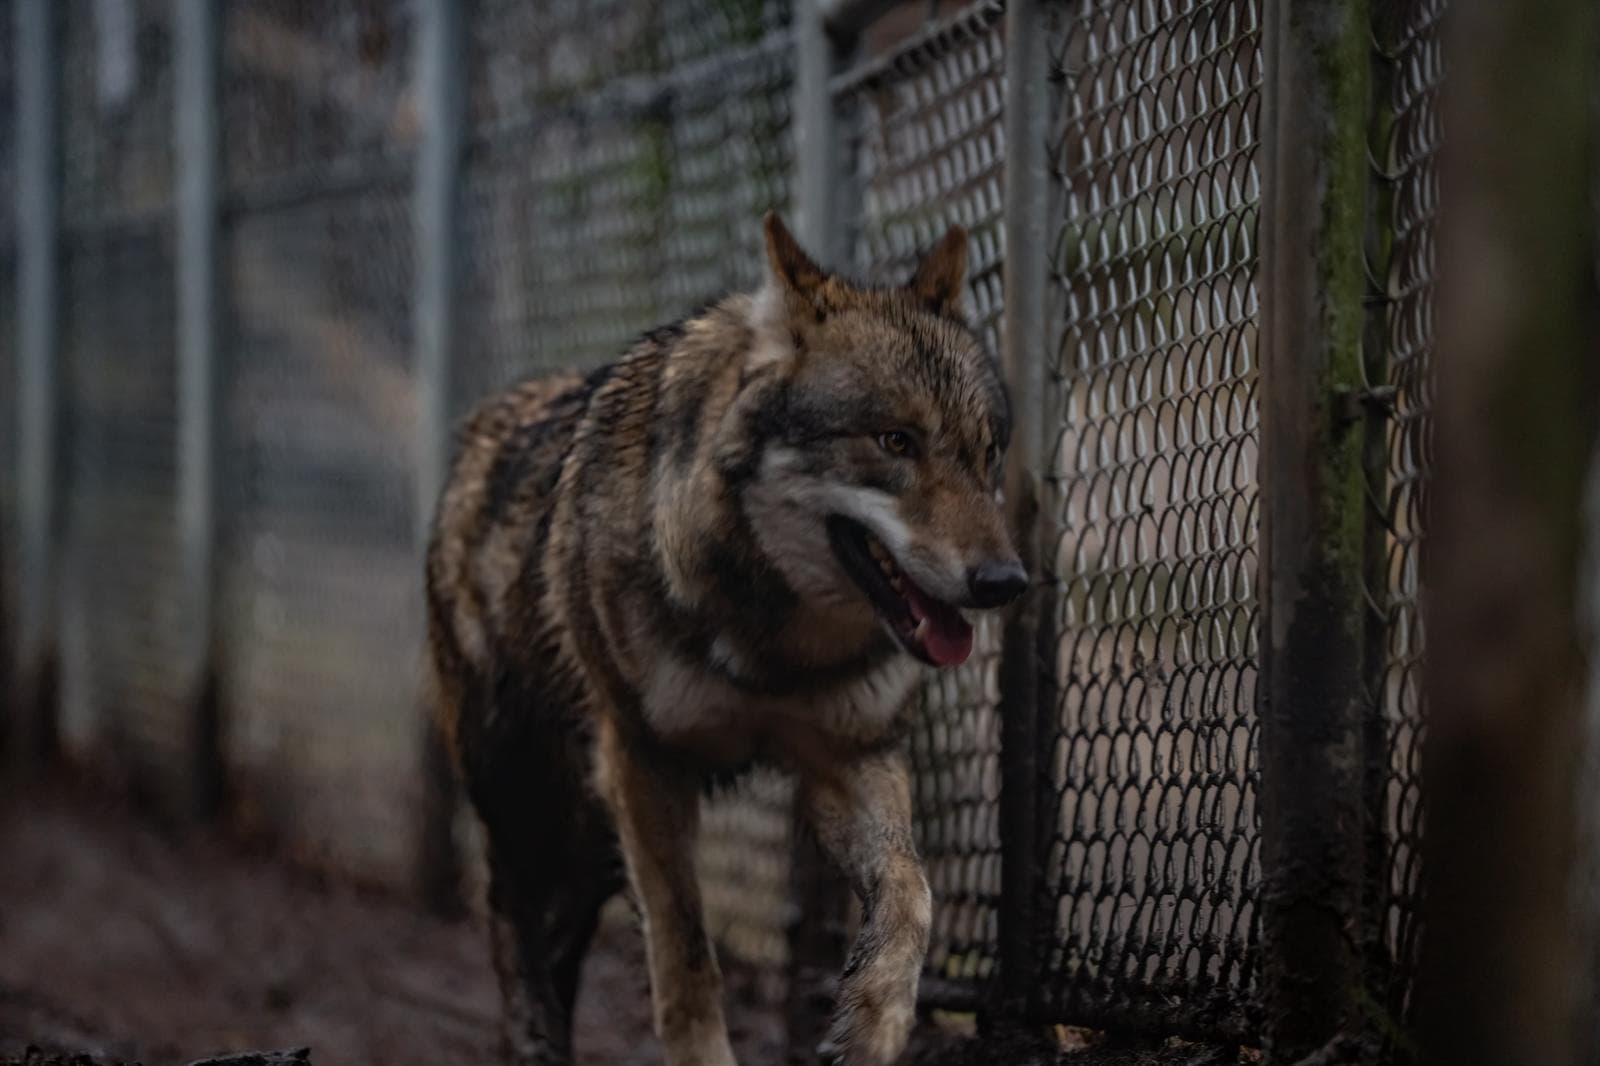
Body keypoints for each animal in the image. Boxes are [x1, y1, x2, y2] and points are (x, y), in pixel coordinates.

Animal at [425, 213, 1027, 1066]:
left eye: (987, 454)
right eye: (895, 441)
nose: (1006, 581)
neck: (773, 644)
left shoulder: (850, 756)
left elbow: (913, 893)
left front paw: (874, 1021)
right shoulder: (644, 764)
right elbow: (683, 955)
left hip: (587, 828)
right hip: (527, 798)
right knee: (510, 913)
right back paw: (533, 1041)